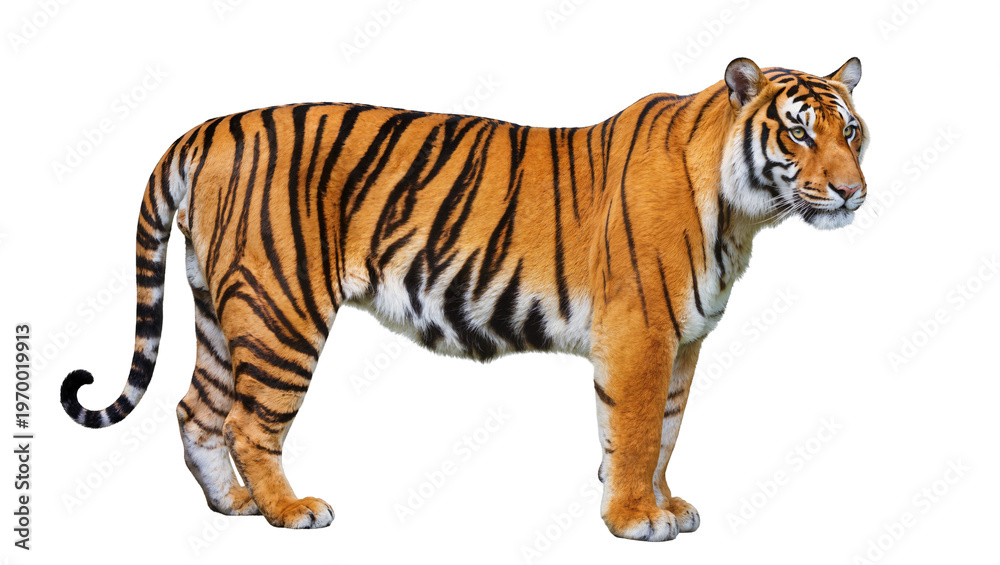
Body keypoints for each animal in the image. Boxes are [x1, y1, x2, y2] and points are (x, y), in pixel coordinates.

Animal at [61, 57, 868, 540]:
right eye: (798, 134)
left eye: (852, 130)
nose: (853, 191)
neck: (742, 216)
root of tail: (210, 126)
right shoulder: (641, 334)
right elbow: (635, 431)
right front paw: (636, 518)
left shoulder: (683, 342)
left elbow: (666, 429)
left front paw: (665, 504)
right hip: (279, 309)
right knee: (246, 421)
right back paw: (289, 510)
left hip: (221, 307)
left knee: (194, 407)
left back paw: (232, 505)